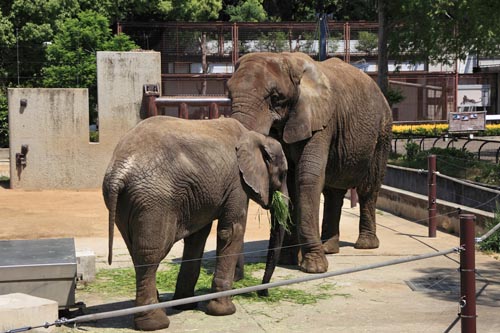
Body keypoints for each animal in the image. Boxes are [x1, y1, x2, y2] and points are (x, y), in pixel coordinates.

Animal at [101, 115, 288, 328]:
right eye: (283, 173)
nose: (263, 293)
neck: (255, 136)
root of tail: (119, 171)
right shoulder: (237, 183)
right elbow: (231, 231)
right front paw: (224, 311)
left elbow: (197, 237)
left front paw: (185, 305)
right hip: (153, 201)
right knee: (150, 254)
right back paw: (155, 323)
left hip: (126, 203)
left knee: (136, 250)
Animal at [228, 52, 394, 274]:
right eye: (229, 95)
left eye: (275, 97)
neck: (288, 60)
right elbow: (291, 182)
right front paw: (288, 260)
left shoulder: (321, 122)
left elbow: (307, 178)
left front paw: (314, 268)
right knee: (333, 193)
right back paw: (329, 248)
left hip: (382, 132)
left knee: (368, 188)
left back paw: (365, 245)